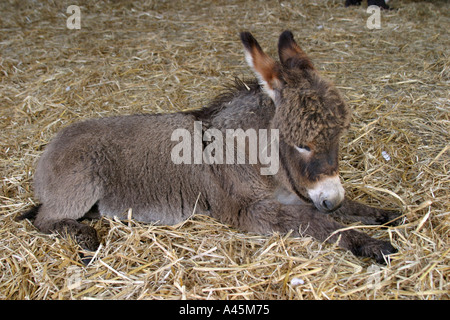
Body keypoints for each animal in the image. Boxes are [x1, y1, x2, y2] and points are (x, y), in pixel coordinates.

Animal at [20, 31, 400, 264]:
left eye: (339, 136)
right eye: (301, 144)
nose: (331, 198)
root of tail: (48, 152)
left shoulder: (298, 192)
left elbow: (338, 209)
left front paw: (383, 213)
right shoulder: (249, 211)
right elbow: (316, 221)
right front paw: (371, 243)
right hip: (82, 183)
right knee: (43, 219)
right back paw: (86, 238)